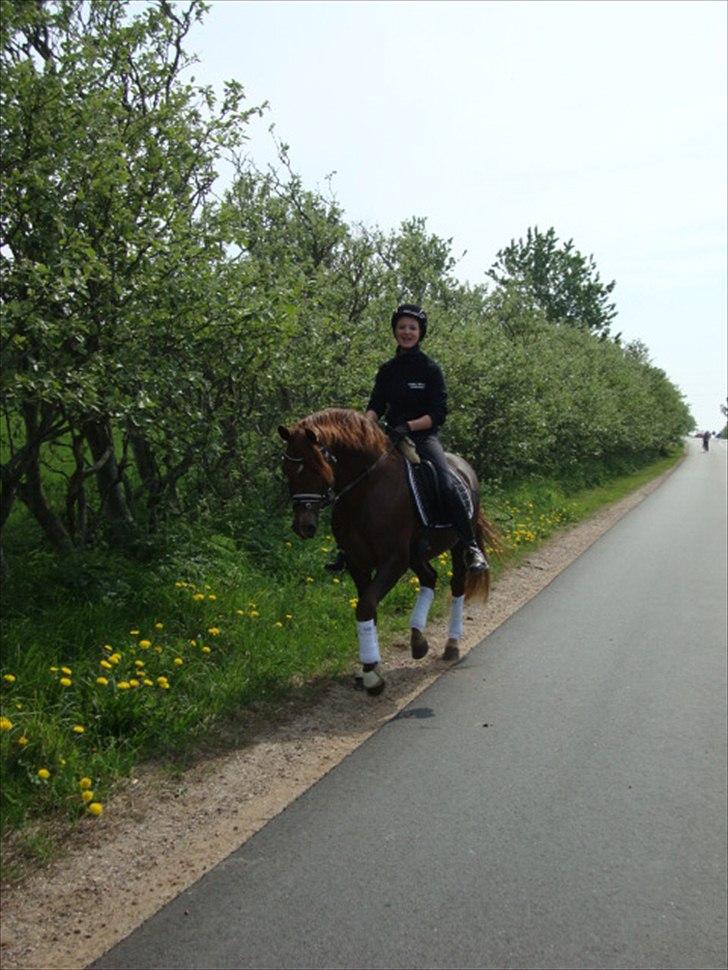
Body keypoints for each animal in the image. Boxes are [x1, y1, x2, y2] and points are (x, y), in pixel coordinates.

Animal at [276, 408, 498, 696]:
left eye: (315, 466)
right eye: (287, 468)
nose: (303, 526)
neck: (366, 491)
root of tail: (464, 466)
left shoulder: (393, 562)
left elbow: (365, 606)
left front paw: (372, 676)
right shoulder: (358, 563)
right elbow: (368, 609)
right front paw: (368, 666)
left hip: (457, 544)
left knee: (457, 585)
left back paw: (451, 645)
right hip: (416, 554)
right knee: (429, 578)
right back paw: (418, 642)